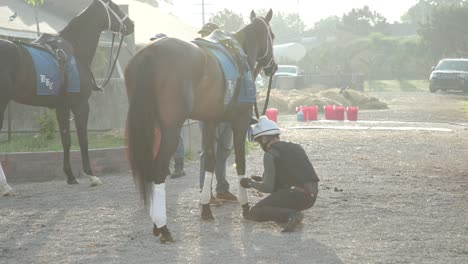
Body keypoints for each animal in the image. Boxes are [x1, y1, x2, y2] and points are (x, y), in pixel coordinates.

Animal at [0, 0, 135, 186]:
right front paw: (91, 175)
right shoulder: (80, 106)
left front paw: (70, 176)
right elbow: (83, 139)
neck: (76, 50)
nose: (131, 24)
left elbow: (66, 140)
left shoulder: (62, 108)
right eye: (114, 7)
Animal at [125, 9, 278, 242]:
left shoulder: (210, 121)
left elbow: (209, 163)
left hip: (150, 128)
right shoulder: (240, 122)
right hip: (170, 130)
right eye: (273, 36)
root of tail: (150, 53)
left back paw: (157, 223)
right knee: (159, 170)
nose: (274, 66)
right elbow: (241, 163)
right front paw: (245, 206)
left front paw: (206, 208)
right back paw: (163, 227)